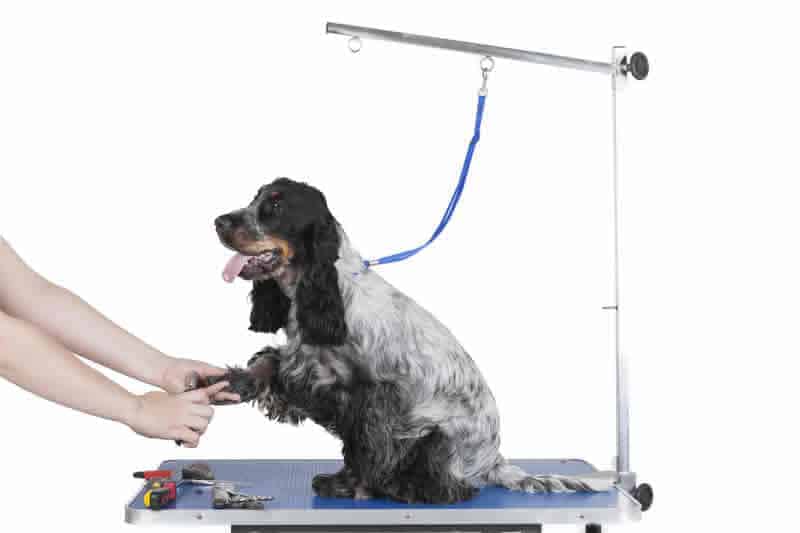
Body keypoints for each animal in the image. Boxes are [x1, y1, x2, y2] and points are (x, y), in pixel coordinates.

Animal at [206, 177, 608, 500]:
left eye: (276, 205)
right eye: (255, 198)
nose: (219, 221)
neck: (321, 292)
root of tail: (495, 461)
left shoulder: (373, 397)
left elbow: (365, 446)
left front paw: (351, 484)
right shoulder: (305, 369)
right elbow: (269, 362)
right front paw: (237, 380)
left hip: (438, 436)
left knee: (450, 486)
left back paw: (408, 488)